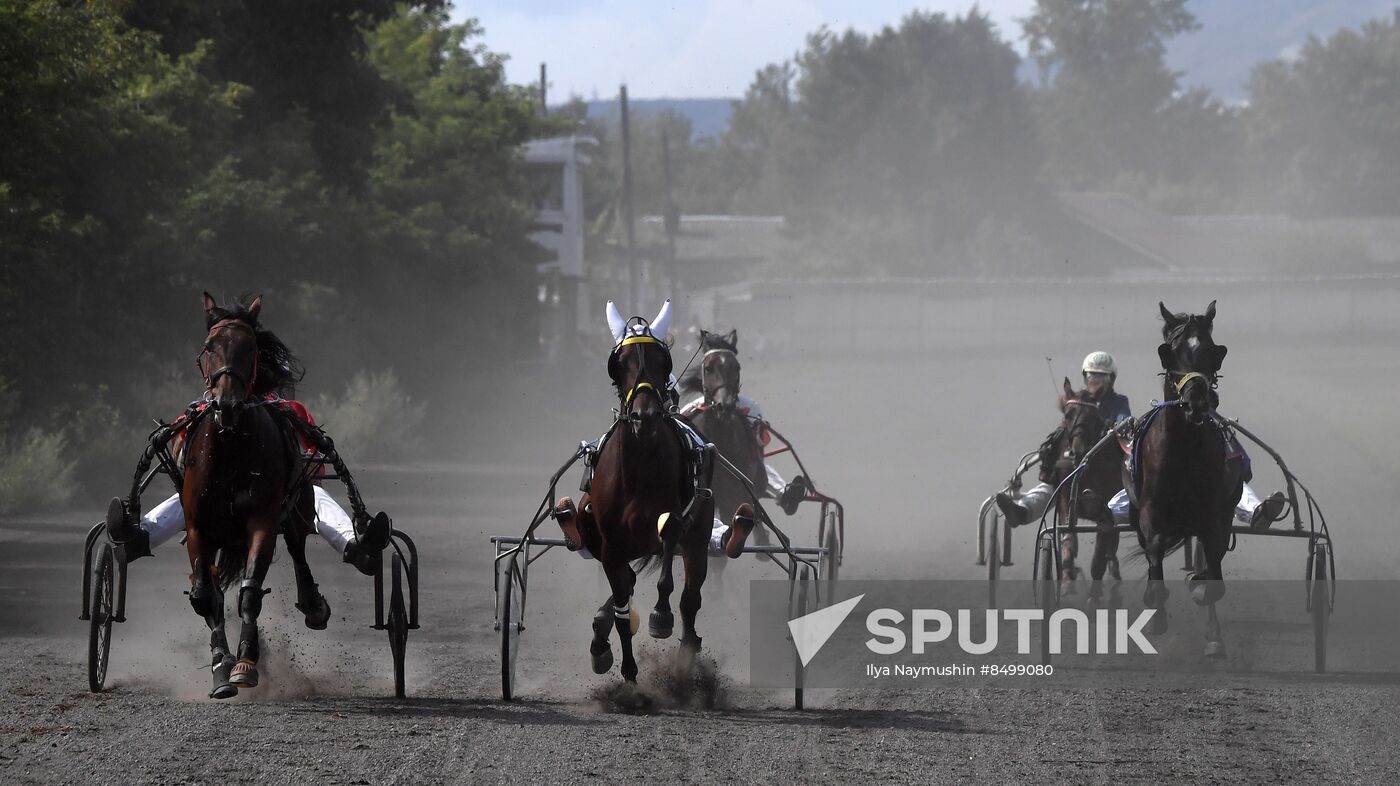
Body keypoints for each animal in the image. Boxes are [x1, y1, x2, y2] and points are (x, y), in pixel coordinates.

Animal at [183, 291, 330, 694]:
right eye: (209, 347)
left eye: (250, 347)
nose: (228, 403)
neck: (230, 450)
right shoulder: (198, 528)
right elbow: (207, 597)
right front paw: (220, 665)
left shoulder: (263, 521)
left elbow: (250, 591)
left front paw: (246, 662)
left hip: (295, 505)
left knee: (297, 546)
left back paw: (312, 604)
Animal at [1052, 378, 1120, 602]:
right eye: (1068, 414)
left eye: (1092, 416)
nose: (1078, 451)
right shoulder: (1065, 498)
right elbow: (1068, 539)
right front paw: (1066, 580)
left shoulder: (1106, 507)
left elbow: (1099, 556)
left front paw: (1094, 597)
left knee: (1111, 548)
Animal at [1131, 299, 1243, 655]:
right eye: (1172, 351)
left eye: (1212, 350)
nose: (1196, 402)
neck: (1182, 451)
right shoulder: (1150, 509)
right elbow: (1154, 551)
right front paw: (1156, 612)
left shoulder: (1213, 515)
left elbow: (1213, 579)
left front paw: (1199, 588)